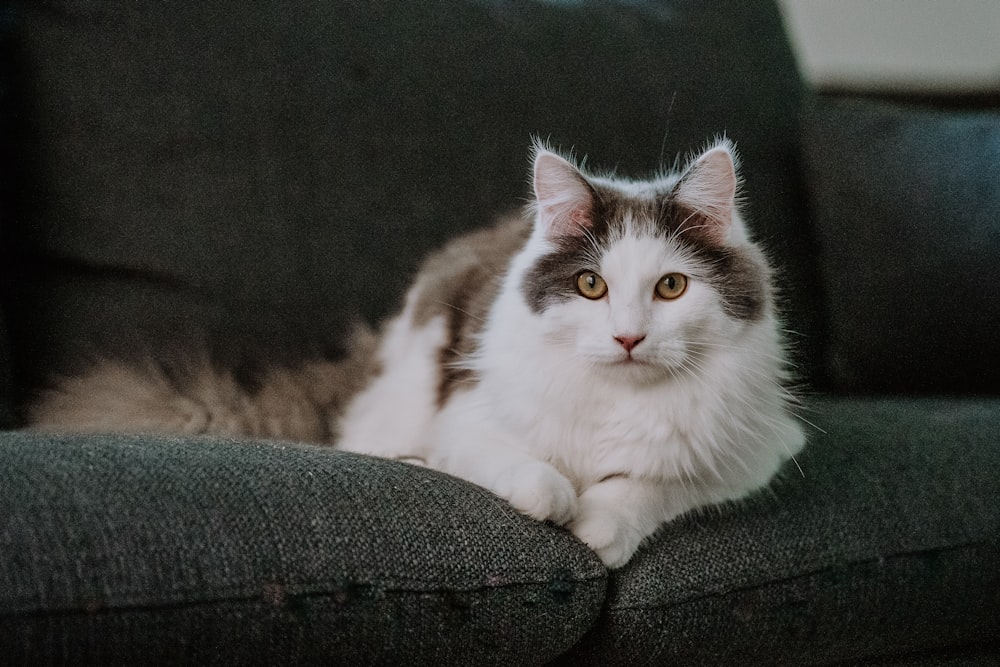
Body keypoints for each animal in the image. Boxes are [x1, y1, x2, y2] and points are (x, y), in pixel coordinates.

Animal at [27, 141, 804, 568]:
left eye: (671, 286)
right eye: (592, 285)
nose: (629, 338)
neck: (617, 397)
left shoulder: (749, 453)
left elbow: (645, 485)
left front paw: (596, 526)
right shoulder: (466, 418)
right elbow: (527, 469)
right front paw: (557, 499)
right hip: (412, 382)